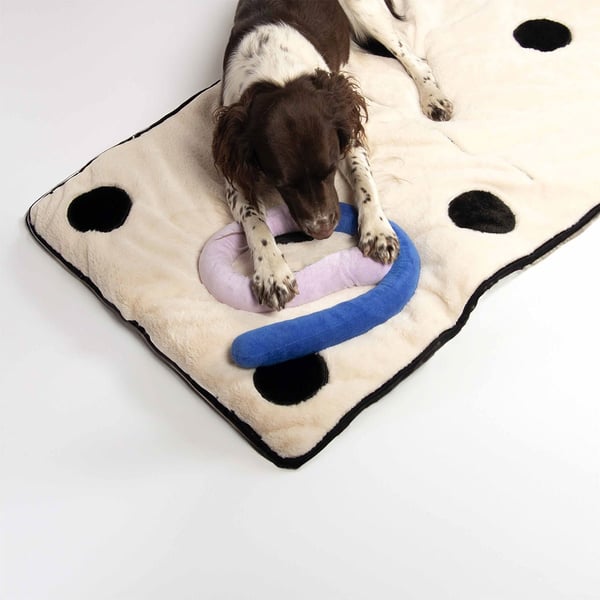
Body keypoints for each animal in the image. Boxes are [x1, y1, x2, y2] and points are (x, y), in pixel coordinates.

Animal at [212, 0, 452, 310]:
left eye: (328, 170)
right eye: (281, 184)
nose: (323, 231)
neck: (277, 75)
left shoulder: (346, 133)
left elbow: (364, 181)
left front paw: (377, 230)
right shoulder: (236, 169)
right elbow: (255, 221)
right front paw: (272, 272)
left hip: (366, 12)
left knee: (413, 57)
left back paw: (433, 97)